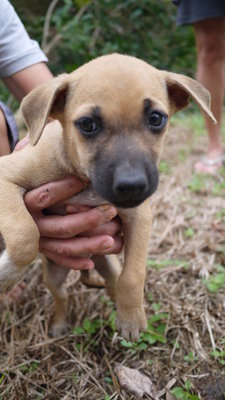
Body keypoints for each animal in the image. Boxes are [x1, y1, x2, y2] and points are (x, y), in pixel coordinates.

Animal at [0, 54, 215, 340]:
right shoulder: (5, 175)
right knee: (62, 296)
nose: (132, 185)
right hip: (53, 276)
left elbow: (133, 275)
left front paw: (132, 319)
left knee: (114, 284)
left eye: (156, 118)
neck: (85, 179)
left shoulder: (139, 217)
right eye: (87, 124)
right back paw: (58, 324)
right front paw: (8, 271)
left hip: (108, 266)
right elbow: (25, 234)